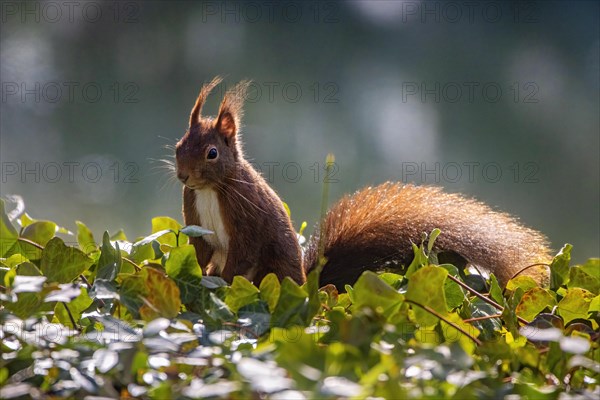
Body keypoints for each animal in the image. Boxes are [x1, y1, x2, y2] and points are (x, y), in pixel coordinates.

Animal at [173, 76, 548, 290]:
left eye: (211, 153)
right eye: (178, 146)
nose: (183, 176)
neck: (210, 190)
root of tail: (306, 286)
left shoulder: (246, 219)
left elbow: (243, 252)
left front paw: (220, 283)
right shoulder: (194, 217)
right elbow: (201, 250)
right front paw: (200, 275)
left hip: (273, 271)